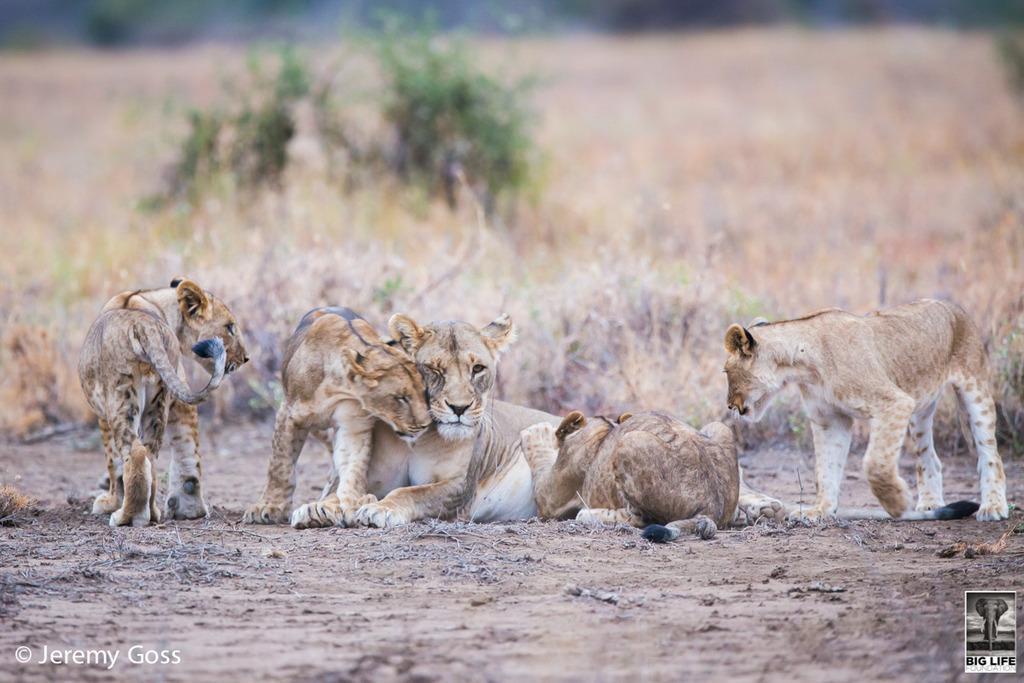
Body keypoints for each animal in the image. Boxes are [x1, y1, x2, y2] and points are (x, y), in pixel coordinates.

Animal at [79, 278, 249, 526]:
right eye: (230, 327)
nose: (246, 358)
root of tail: (143, 327)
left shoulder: (102, 414)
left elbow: (112, 461)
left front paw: (109, 502)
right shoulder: (178, 394)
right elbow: (188, 446)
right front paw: (190, 507)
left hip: (121, 398)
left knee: (135, 454)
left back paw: (127, 516)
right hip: (158, 399)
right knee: (150, 456)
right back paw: (153, 513)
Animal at [242, 307, 433, 526]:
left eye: (425, 391)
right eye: (401, 398)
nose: (426, 424)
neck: (336, 386)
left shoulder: (354, 424)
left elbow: (353, 467)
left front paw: (352, 504)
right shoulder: (288, 413)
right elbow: (280, 466)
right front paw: (269, 507)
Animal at [284, 313, 563, 529]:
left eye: (477, 369)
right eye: (434, 369)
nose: (459, 408)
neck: (414, 441)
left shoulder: (459, 488)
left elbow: (412, 492)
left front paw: (382, 509)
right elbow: (342, 489)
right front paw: (317, 508)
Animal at [517, 411, 739, 542]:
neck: (605, 428)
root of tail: (711, 508)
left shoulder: (550, 499)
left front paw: (538, 432)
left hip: (631, 441)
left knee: (642, 519)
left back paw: (588, 515)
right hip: (720, 428)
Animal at [723, 299, 1006, 522]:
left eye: (726, 372)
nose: (730, 406)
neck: (802, 366)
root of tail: (953, 306)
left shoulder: (893, 403)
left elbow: (875, 463)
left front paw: (897, 503)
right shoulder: (830, 419)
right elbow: (825, 469)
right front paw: (821, 511)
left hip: (973, 389)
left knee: (990, 453)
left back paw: (993, 507)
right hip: (920, 410)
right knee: (930, 459)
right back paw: (929, 504)